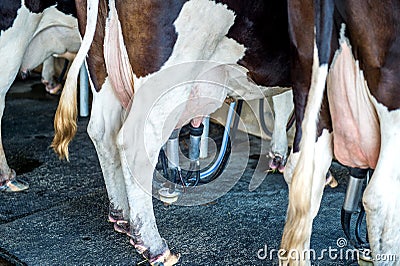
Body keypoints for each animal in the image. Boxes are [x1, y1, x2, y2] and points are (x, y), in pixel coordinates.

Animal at [51, 0, 294, 262]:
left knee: (102, 131)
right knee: (135, 143)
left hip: (101, 61)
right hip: (168, 72)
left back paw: (122, 215)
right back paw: (153, 244)